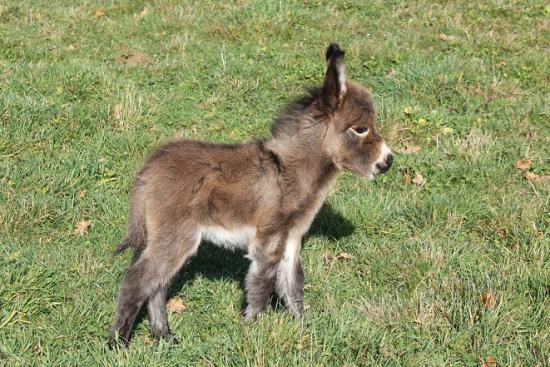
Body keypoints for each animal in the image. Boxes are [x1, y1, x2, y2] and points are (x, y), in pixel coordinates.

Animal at [111, 44, 392, 346]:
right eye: (360, 129)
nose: (389, 161)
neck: (292, 170)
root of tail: (149, 167)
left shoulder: (291, 237)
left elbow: (293, 284)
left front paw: (304, 330)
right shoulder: (269, 236)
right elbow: (262, 283)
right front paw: (252, 327)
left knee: (157, 285)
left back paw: (164, 336)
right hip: (176, 236)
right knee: (137, 279)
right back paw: (118, 342)